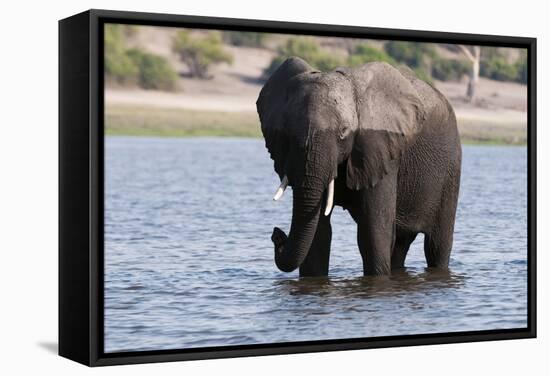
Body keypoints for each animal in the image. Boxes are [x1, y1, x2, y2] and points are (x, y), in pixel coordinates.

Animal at [256, 57, 464, 278]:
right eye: (286, 132)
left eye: (343, 133)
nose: (276, 233)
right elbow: (319, 234)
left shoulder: (381, 149)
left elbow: (373, 233)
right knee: (400, 243)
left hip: (451, 168)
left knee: (436, 246)